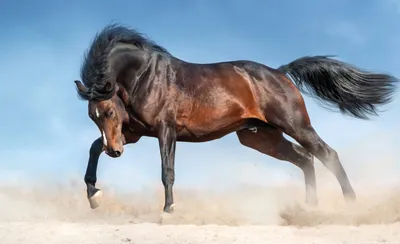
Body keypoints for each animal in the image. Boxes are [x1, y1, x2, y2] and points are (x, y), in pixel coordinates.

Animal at [74, 23, 396, 213]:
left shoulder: (166, 130)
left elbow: (167, 171)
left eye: (110, 111)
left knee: (326, 154)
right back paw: (309, 208)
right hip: (262, 137)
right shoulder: (135, 133)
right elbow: (93, 148)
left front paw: (169, 210)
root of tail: (280, 72)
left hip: (296, 125)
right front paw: (94, 195)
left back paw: (350, 204)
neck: (145, 76)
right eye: (92, 116)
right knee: (305, 159)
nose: (116, 152)